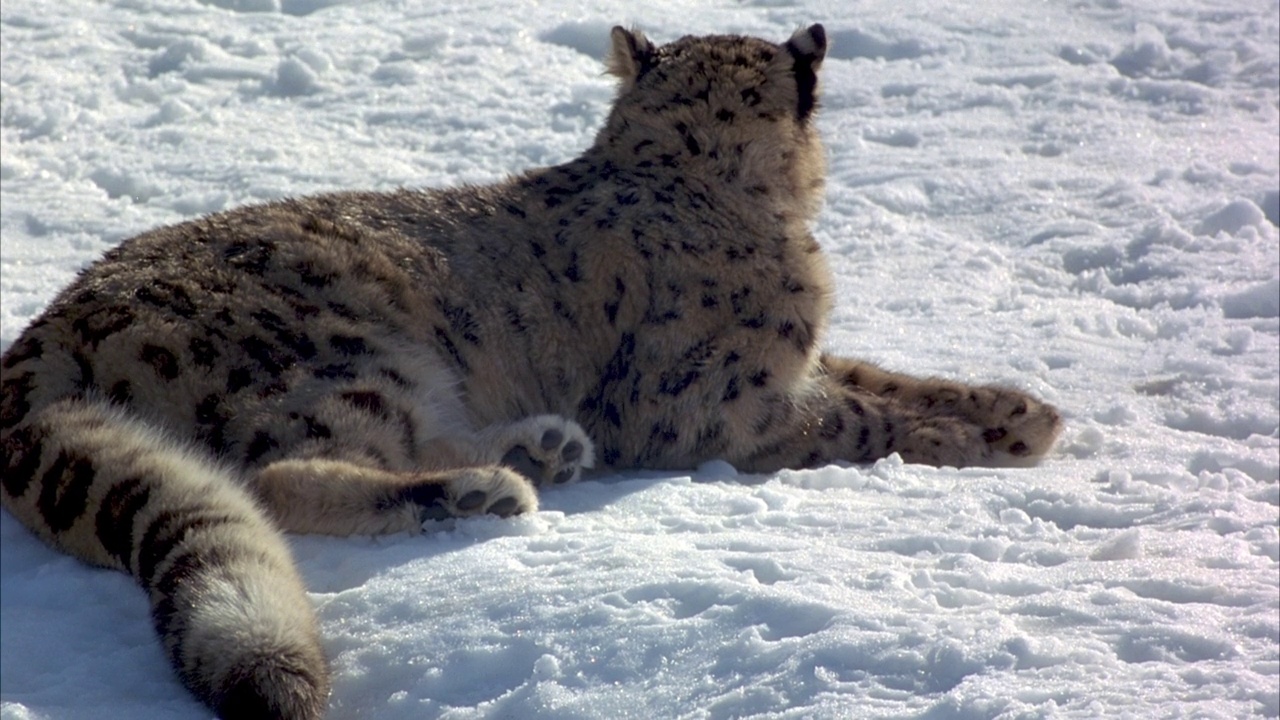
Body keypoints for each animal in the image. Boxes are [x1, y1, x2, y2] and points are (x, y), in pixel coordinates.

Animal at [0, 22, 1059, 717]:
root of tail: (46, 328)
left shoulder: (802, 363)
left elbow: (876, 373)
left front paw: (1018, 412)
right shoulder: (714, 406)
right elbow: (848, 417)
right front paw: (959, 439)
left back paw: (539, 449)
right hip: (343, 363)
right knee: (274, 472)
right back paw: (481, 491)